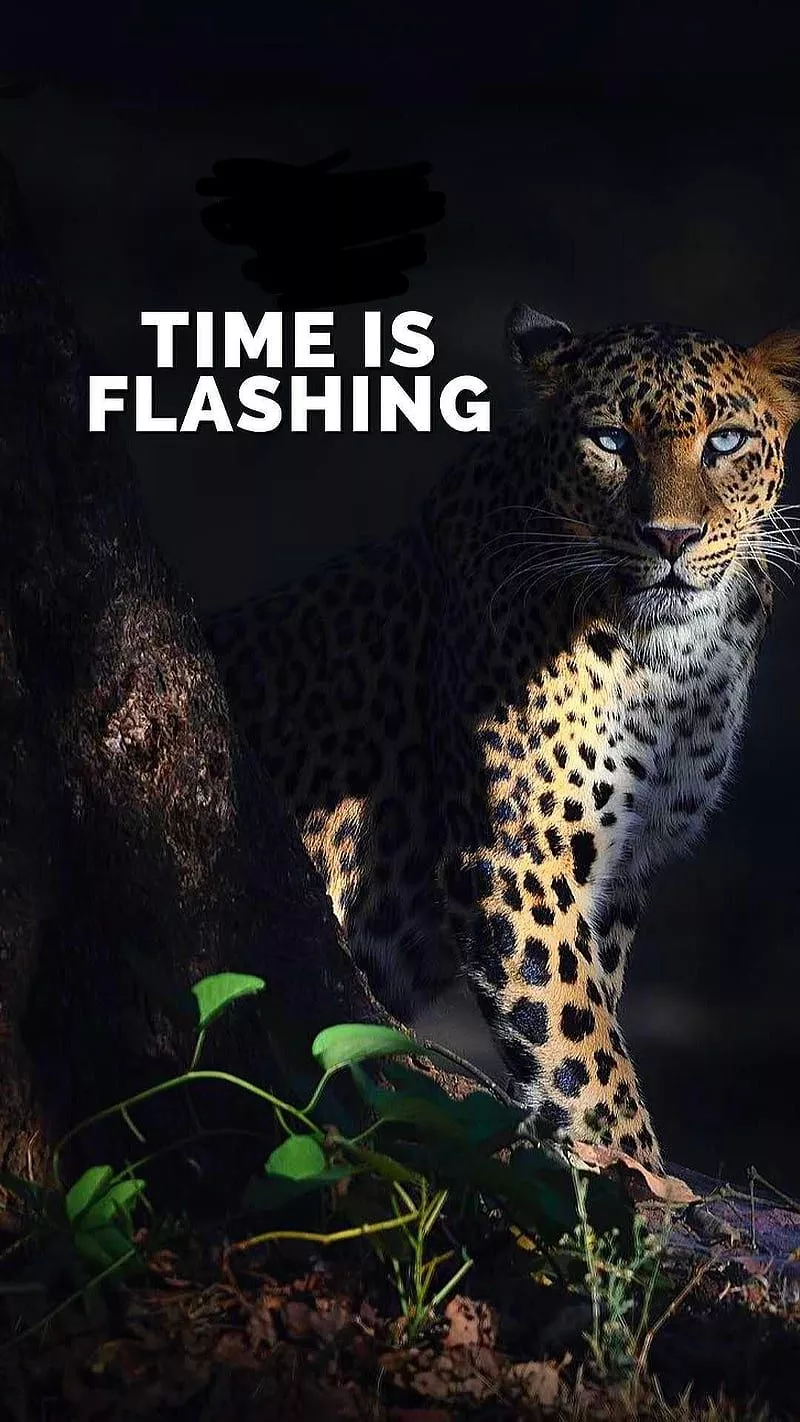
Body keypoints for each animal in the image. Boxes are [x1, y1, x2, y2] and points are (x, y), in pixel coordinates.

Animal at [204, 303, 800, 1170]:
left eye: (725, 442)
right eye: (611, 441)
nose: (670, 538)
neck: (673, 662)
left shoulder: (621, 869)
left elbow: (592, 1020)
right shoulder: (519, 858)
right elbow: (585, 1052)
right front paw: (637, 1176)